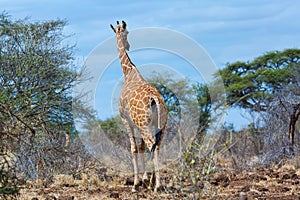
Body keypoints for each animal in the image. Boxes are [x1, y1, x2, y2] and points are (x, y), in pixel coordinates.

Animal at [110, 20, 168, 192]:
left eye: (126, 32)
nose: (128, 45)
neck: (128, 71)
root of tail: (154, 99)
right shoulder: (136, 124)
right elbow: (141, 148)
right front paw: (145, 180)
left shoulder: (126, 120)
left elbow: (133, 148)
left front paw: (137, 183)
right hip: (160, 125)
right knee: (157, 146)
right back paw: (155, 182)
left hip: (144, 125)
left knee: (152, 145)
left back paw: (157, 185)